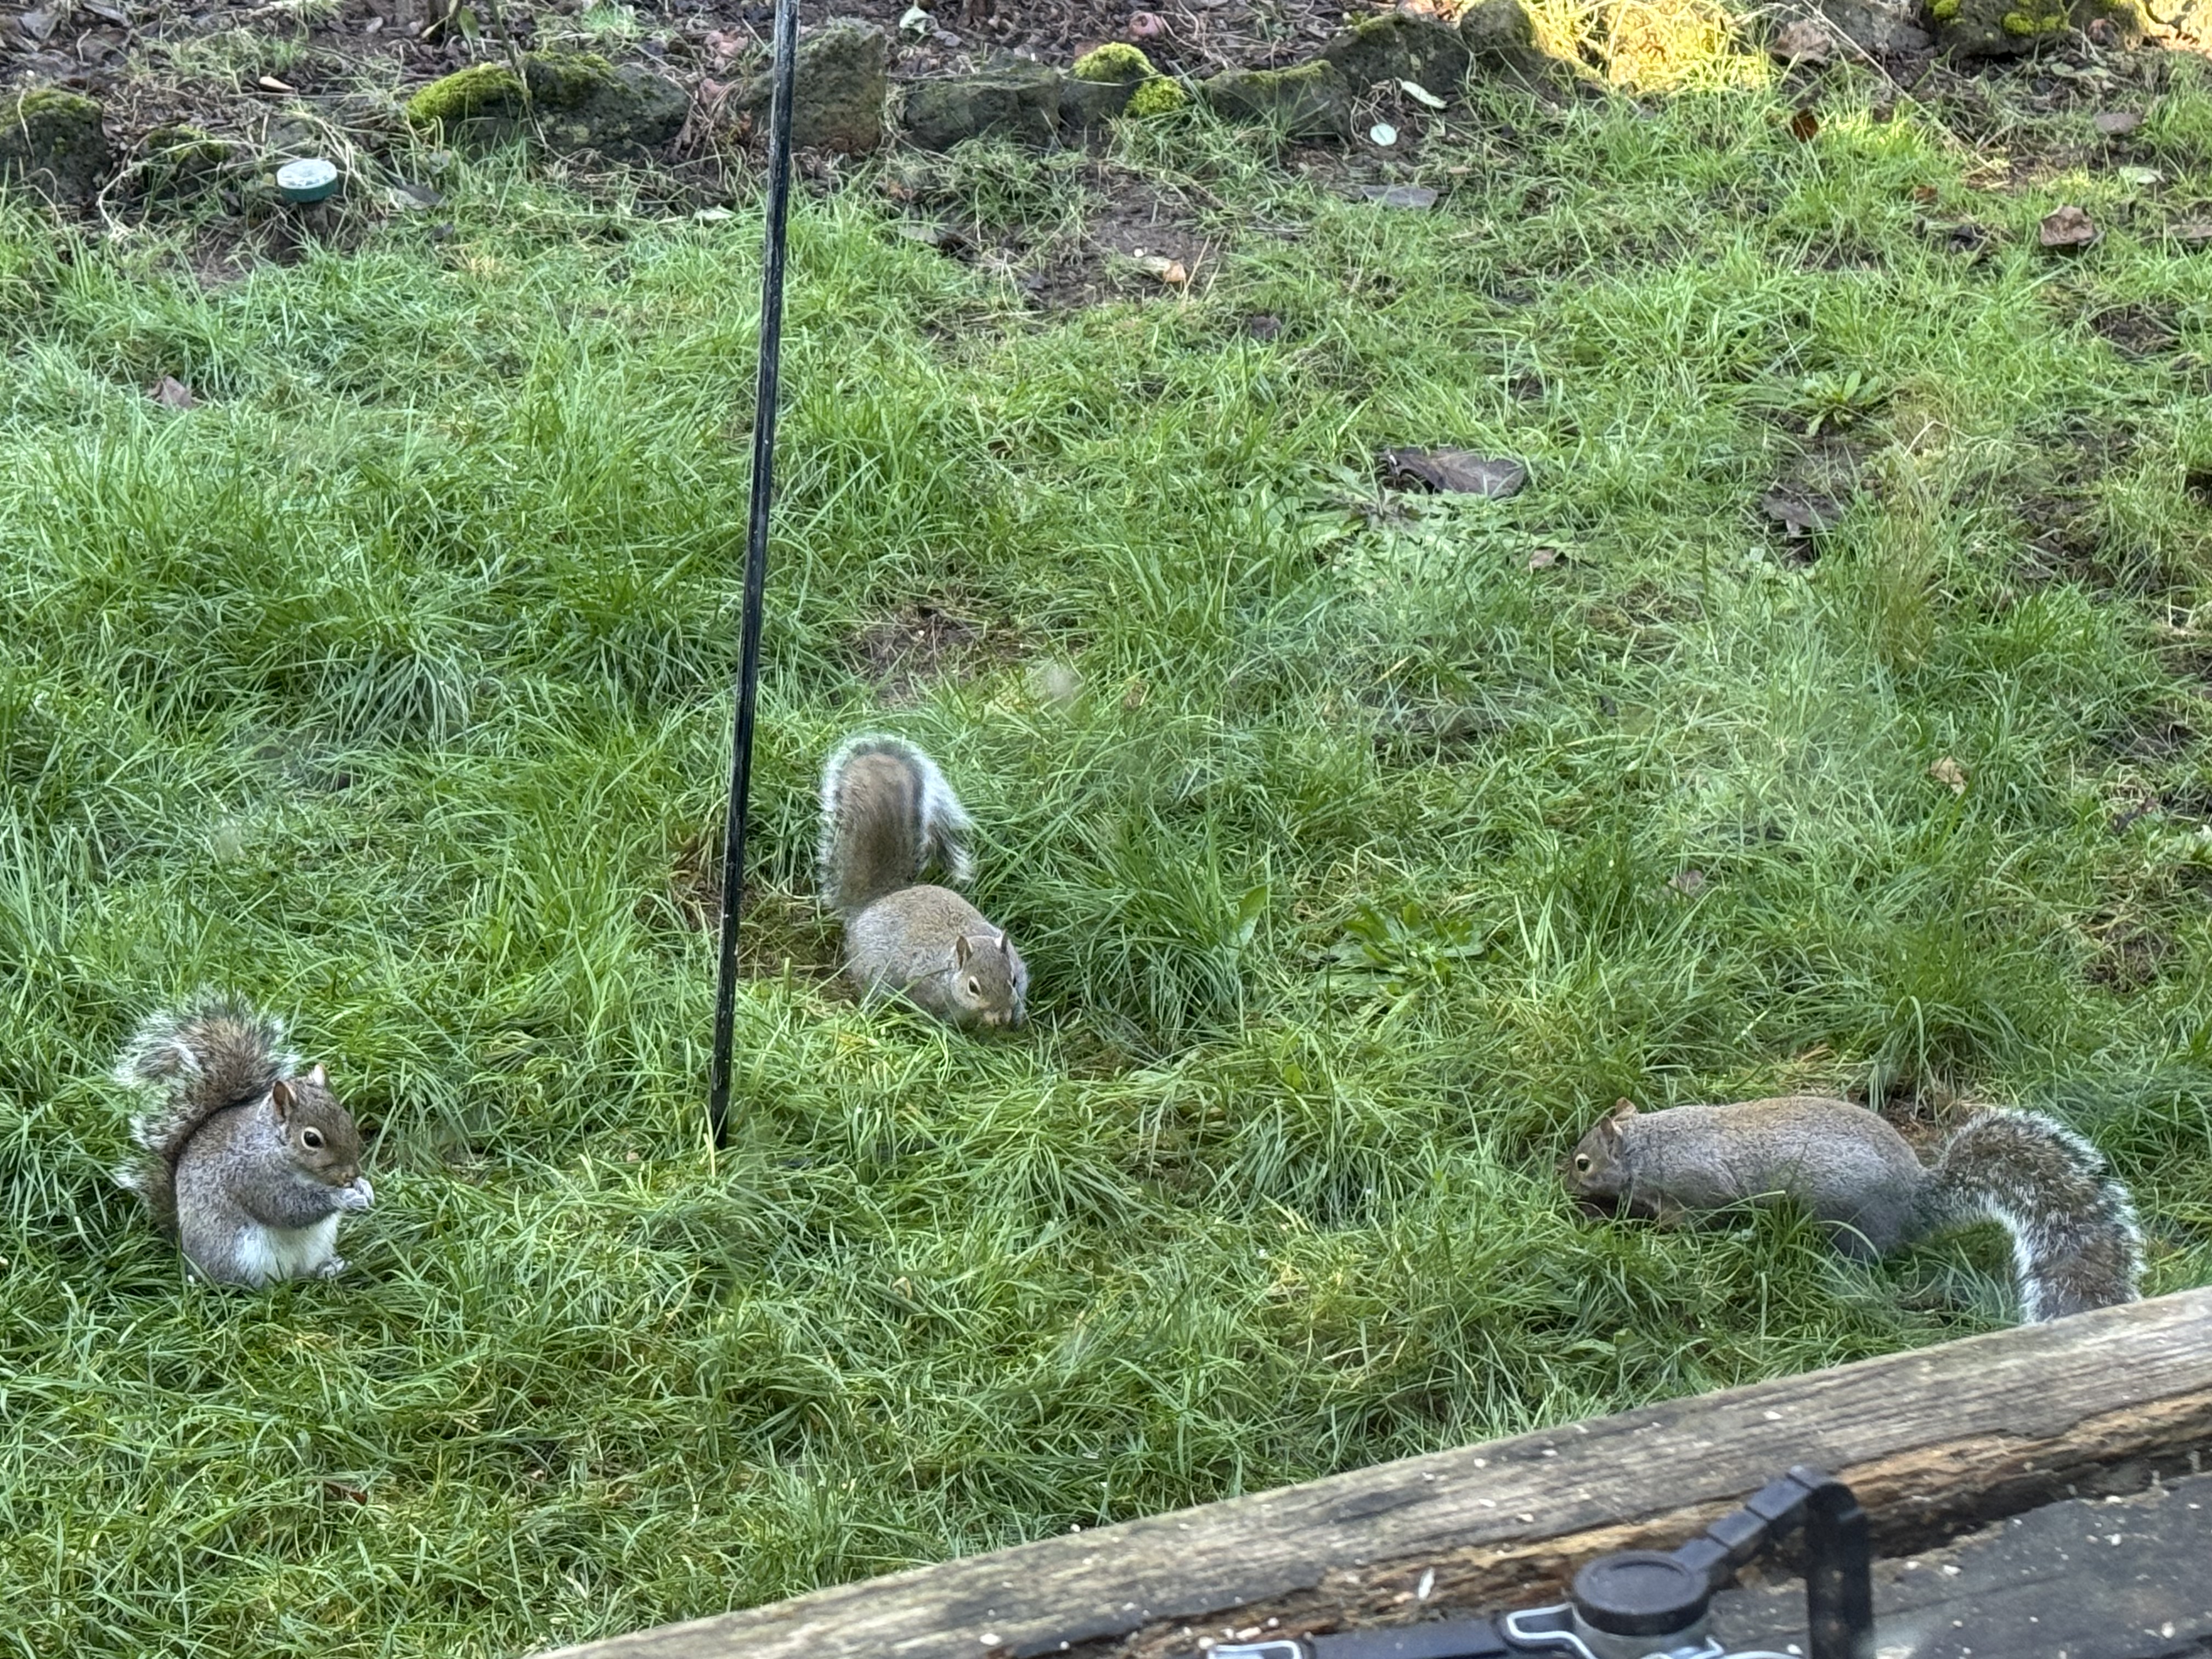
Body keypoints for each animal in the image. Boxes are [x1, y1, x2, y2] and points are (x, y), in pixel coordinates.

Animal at [112, 995, 374, 1287]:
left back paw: (330, 1269)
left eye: (346, 1117)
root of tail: (188, 1257)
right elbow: (289, 1209)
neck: (274, 1146)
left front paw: (365, 1188)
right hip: (244, 1256)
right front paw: (344, 1198)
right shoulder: (253, 1178)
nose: (352, 1173)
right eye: (311, 1139)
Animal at [818, 733, 1027, 1030]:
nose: (1001, 1017)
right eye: (973, 987)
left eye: (1014, 981)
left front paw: (1016, 1016)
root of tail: (875, 902)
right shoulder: (921, 980)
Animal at [1564, 1094, 2142, 1323]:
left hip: (1848, 1223)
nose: (1566, 1188)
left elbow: (1696, 1222)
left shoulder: (1696, 1190)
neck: (1650, 1149)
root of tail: (1914, 1201)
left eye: (1583, 1163)